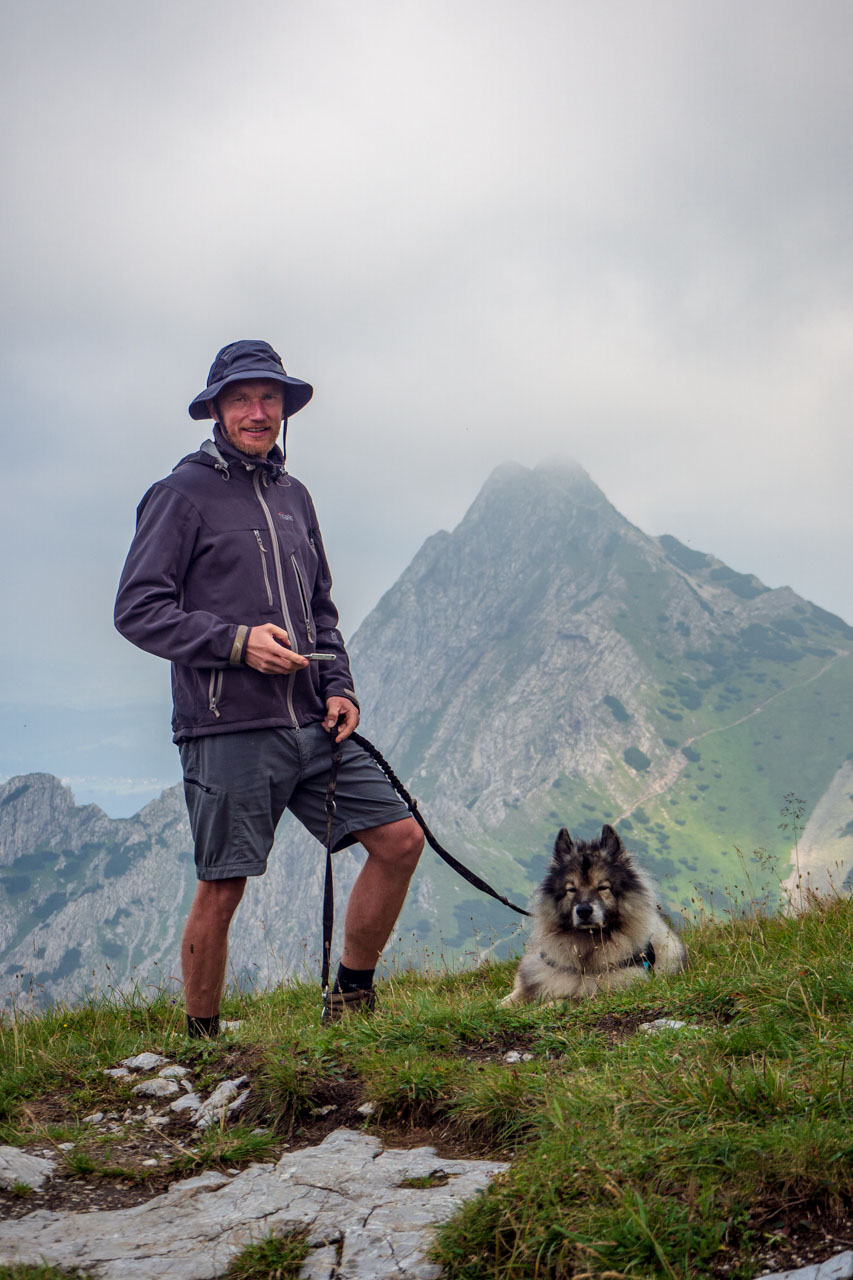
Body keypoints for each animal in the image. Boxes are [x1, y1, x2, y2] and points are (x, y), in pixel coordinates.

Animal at [499, 824, 686, 1003]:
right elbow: (507, 1001)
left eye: (602, 887)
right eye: (571, 889)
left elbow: (559, 1002)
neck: (586, 944)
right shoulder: (532, 982)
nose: (583, 910)